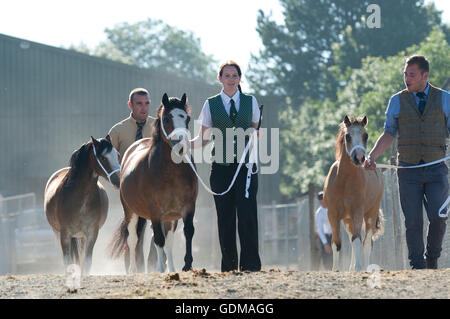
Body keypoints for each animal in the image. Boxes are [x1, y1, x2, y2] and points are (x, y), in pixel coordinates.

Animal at [44, 136, 121, 276]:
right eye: (103, 158)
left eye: (117, 155)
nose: (118, 180)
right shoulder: (65, 234)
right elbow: (68, 262)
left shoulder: (92, 233)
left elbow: (86, 262)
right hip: (58, 233)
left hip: (82, 237)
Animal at [109, 93, 197, 276]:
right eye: (167, 118)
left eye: (187, 118)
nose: (181, 148)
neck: (172, 172)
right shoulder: (155, 211)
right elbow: (158, 239)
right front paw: (161, 269)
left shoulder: (188, 207)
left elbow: (187, 232)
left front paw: (187, 265)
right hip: (131, 212)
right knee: (133, 239)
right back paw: (134, 270)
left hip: (169, 217)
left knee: (167, 241)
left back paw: (170, 268)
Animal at [324, 116, 384, 272]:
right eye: (348, 136)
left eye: (366, 135)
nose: (359, 158)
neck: (344, 181)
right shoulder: (332, 214)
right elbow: (336, 243)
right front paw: (335, 269)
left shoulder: (357, 212)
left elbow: (357, 240)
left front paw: (358, 268)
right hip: (347, 220)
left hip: (370, 214)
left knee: (366, 242)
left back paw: (364, 267)